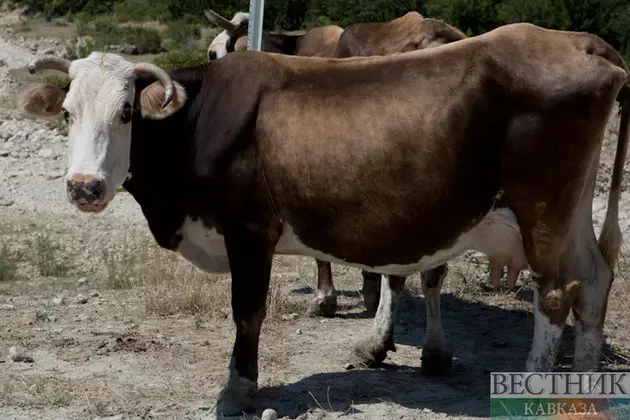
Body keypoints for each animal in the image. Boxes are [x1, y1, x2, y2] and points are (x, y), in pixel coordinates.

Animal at [21, 23, 630, 416]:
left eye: (127, 112)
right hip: (571, 211)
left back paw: (535, 387)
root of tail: (579, 42)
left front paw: (238, 390)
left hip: (542, 209)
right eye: (67, 112)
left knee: (557, 292)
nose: (84, 187)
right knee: (595, 280)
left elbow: (248, 313)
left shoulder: (250, 231)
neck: (199, 120)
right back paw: (587, 390)